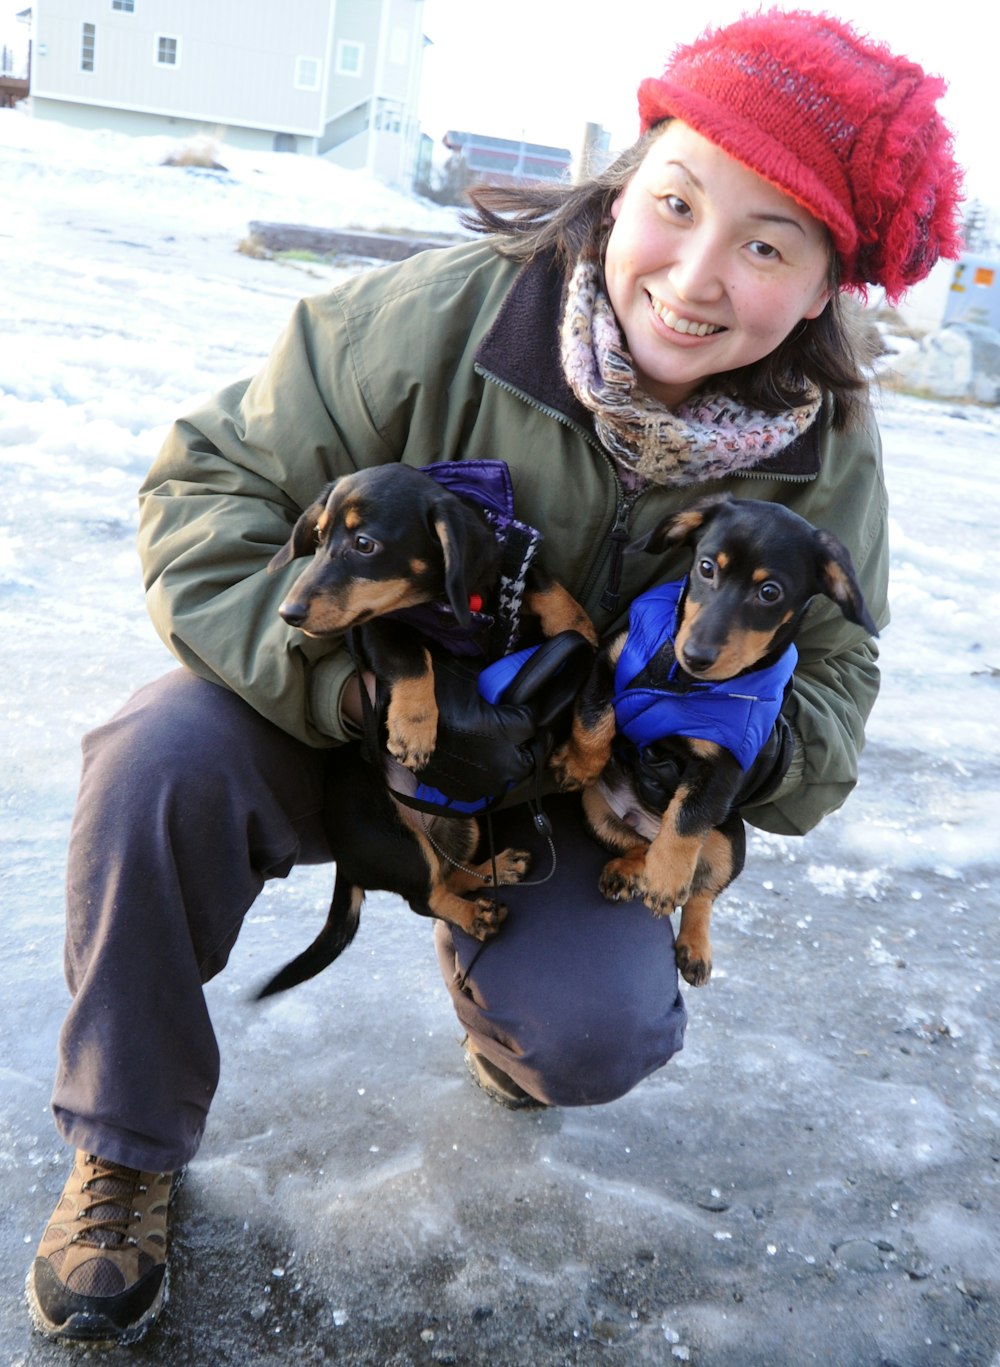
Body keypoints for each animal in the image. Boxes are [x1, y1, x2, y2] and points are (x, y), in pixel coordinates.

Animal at [254, 464, 592, 1000]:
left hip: (465, 822)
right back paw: (475, 916)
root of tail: (346, 865)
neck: (450, 606)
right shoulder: (376, 627)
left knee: (450, 874)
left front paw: (578, 623)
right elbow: (411, 655)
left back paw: (496, 869)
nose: (289, 614)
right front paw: (414, 730)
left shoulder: (507, 564)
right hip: (400, 841)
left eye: (364, 544)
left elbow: (543, 583)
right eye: (320, 536)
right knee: (426, 895)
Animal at [554, 497, 874, 989]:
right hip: (596, 809)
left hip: (730, 842)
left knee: (701, 891)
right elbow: (595, 718)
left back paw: (691, 943)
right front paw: (577, 763)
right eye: (706, 567)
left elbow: (686, 821)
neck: (681, 683)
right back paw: (628, 873)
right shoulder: (608, 661)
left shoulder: (726, 763)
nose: (697, 656)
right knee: (637, 846)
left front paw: (668, 880)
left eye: (769, 592)